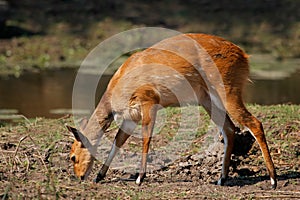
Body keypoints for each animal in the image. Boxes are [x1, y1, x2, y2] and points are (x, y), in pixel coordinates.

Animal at [67, 32, 278, 188]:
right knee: (229, 128)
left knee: (254, 123)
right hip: (207, 99)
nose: (79, 177)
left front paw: (139, 178)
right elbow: (118, 141)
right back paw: (221, 178)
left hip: (228, 91)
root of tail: (244, 56)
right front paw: (100, 176)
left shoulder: (149, 102)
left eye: (72, 157)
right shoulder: (130, 116)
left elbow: (146, 139)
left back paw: (273, 179)